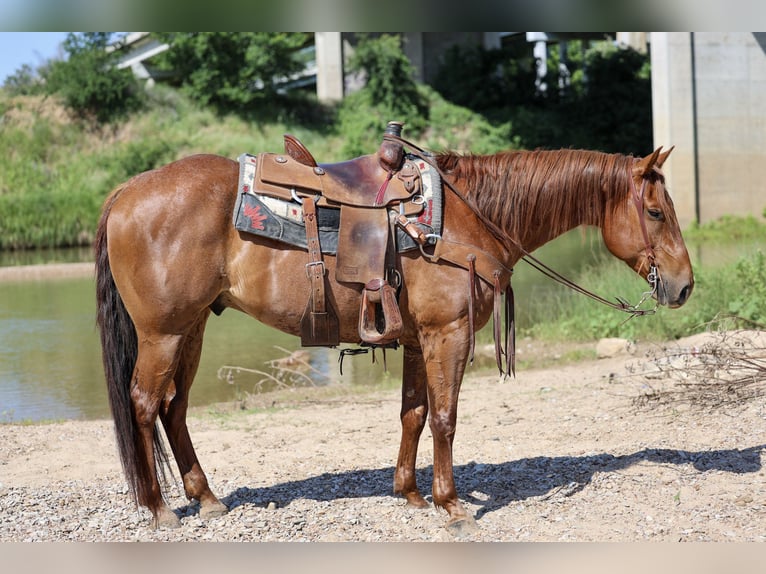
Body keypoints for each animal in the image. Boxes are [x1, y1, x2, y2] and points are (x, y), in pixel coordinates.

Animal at [95, 143, 693, 533]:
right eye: (656, 212)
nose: (685, 285)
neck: (465, 218)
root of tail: (125, 191)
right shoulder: (447, 334)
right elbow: (446, 417)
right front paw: (451, 504)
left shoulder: (415, 340)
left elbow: (414, 413)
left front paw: (409, 492)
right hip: (164, 333)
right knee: (145, 403)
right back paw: (159, 509)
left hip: (191, 329)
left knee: (174, 409)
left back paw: (208, 499)